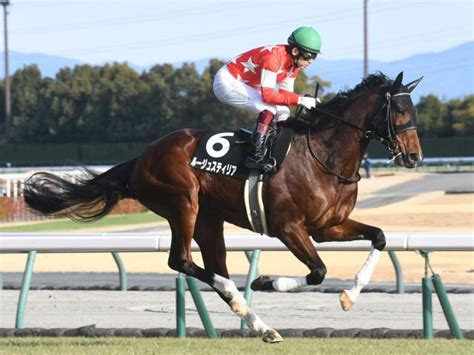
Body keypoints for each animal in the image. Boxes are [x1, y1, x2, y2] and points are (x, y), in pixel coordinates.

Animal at [24, 71, 422, 342]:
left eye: (413, 109)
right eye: (400, 109)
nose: (415, 156)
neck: (323, 154)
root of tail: (140, 158)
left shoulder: (327, 226)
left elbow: (379, 238)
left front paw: (349, 297)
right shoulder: (289, 227)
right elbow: (318, 271)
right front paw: (264, 280)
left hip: (209, 220)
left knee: (212, 267)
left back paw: (261, 325)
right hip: (183, 203)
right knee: (182, 261)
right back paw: (242, 299)